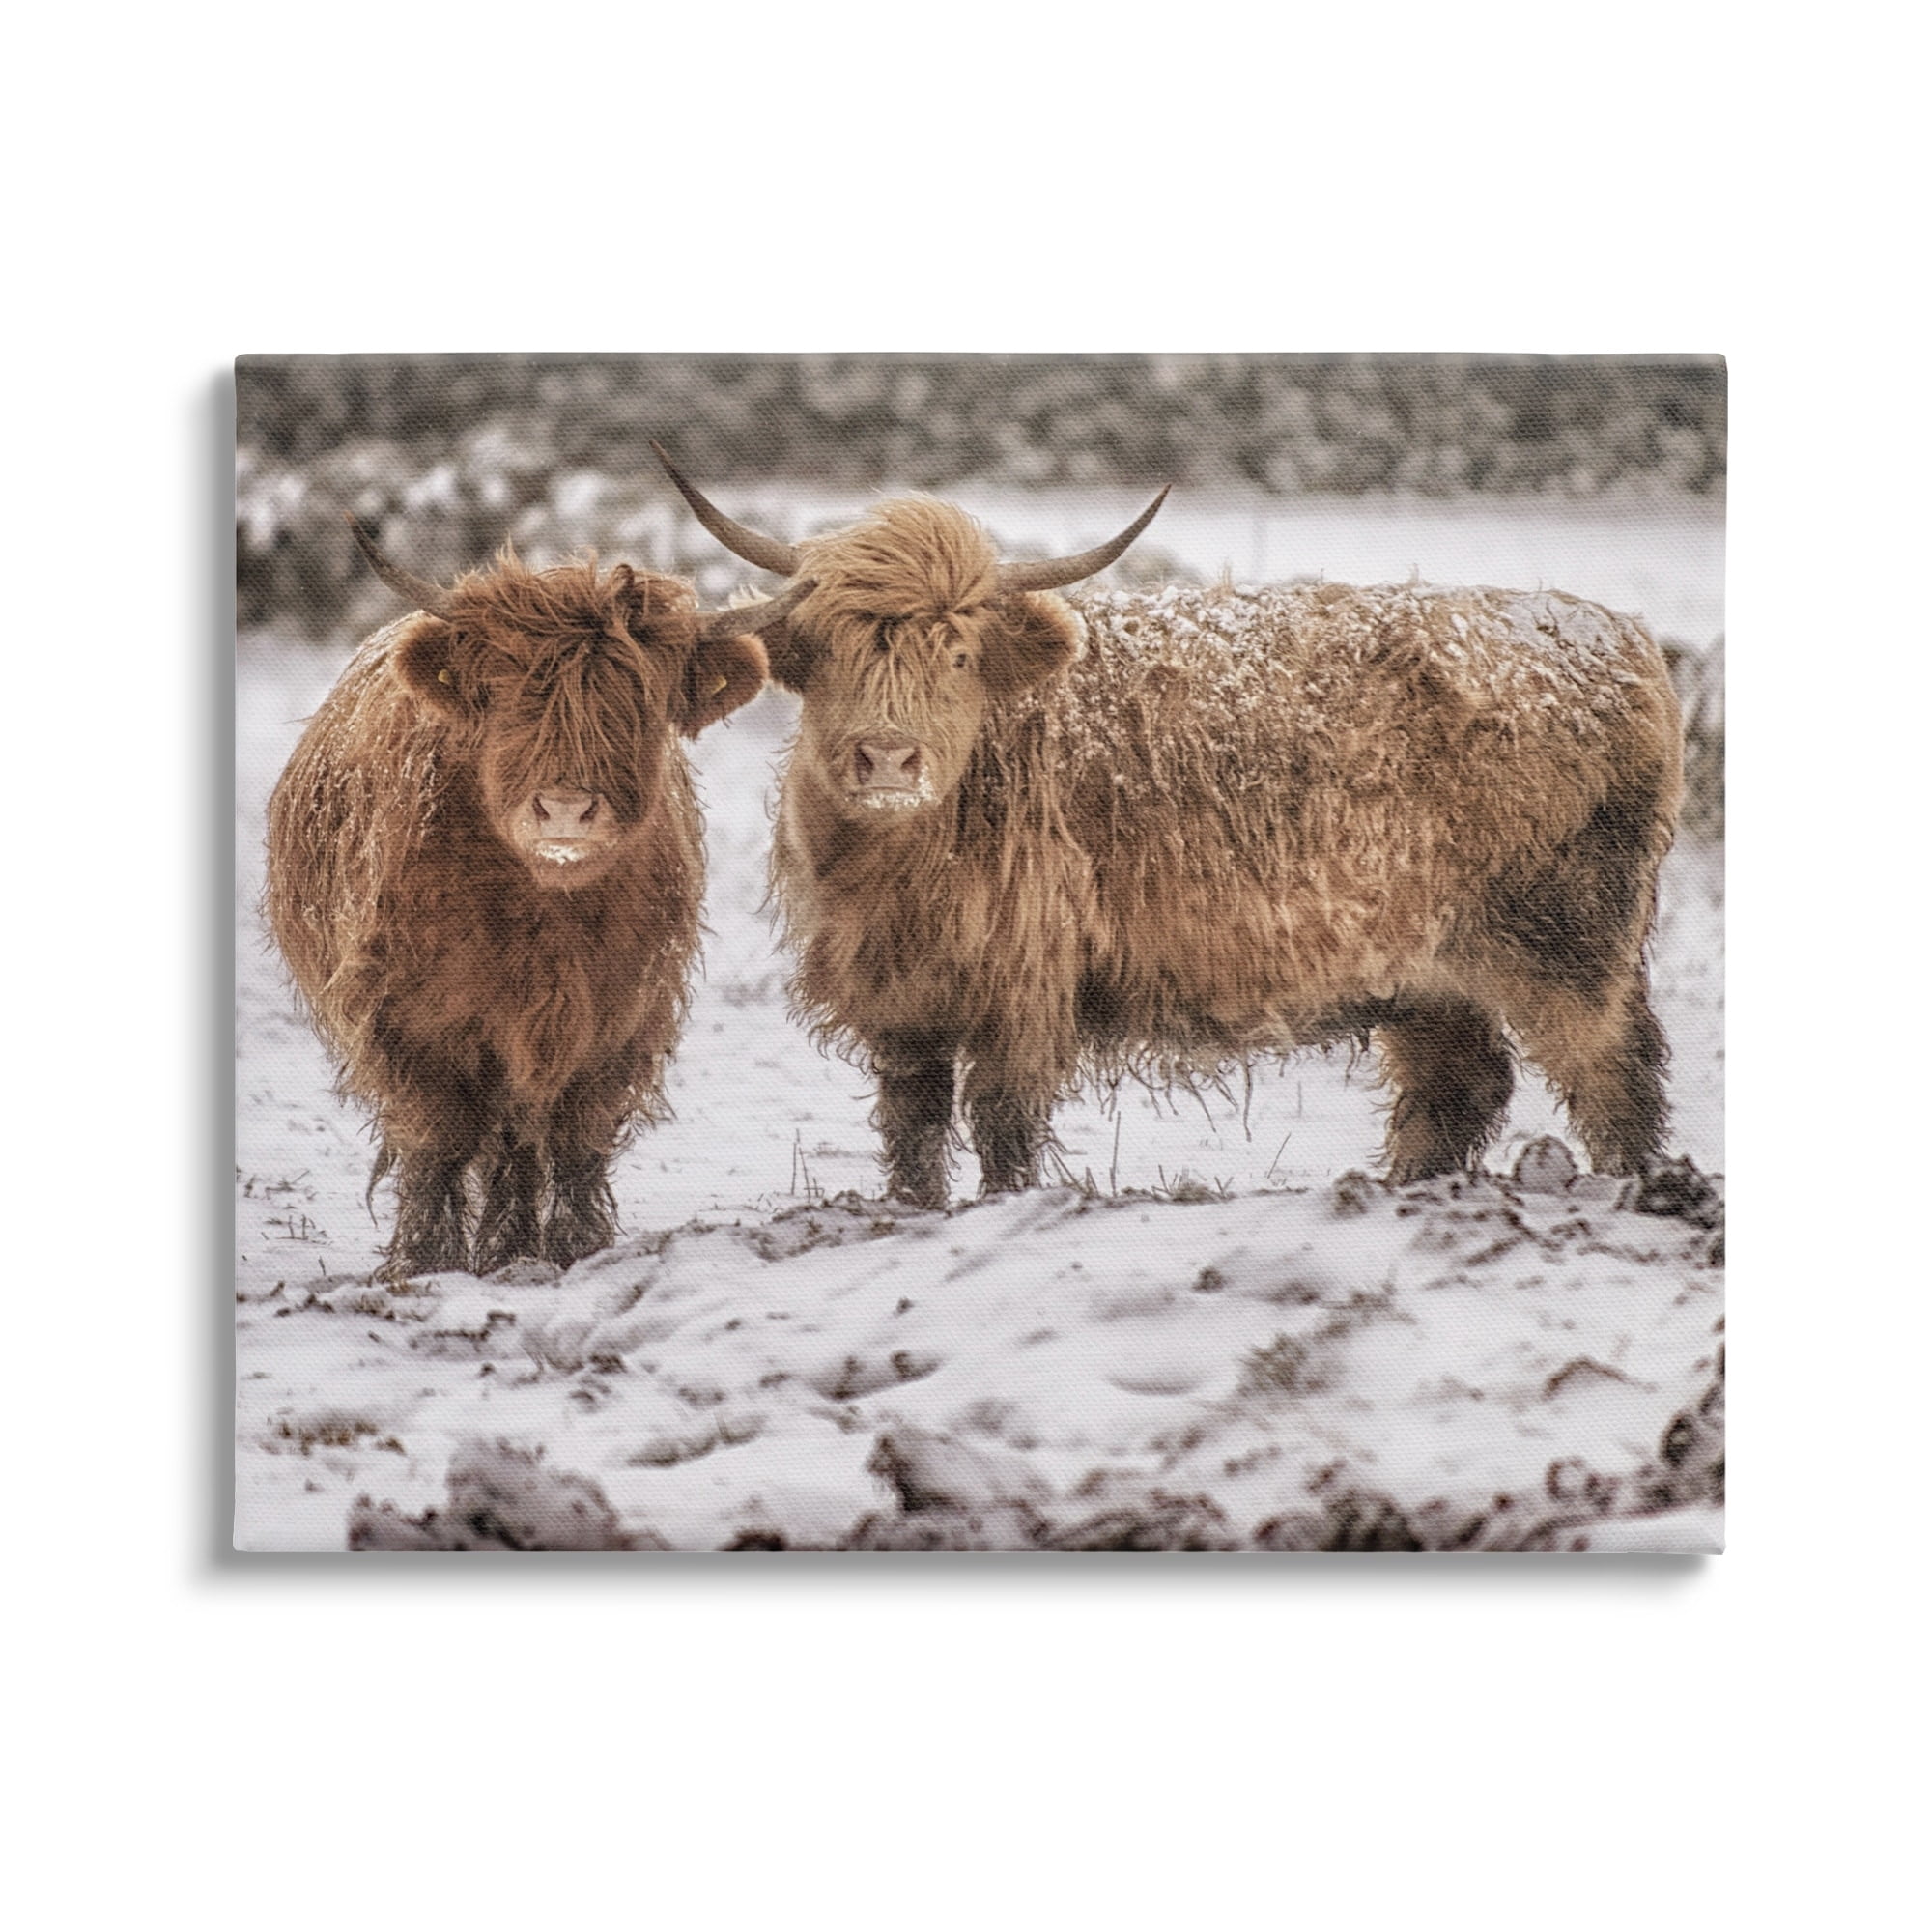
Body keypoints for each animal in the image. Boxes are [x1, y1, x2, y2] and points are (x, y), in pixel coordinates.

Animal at [265, 519, 811, 1274]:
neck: (543, 914)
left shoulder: (623, 1015)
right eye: (506, 697)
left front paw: (572, 1247)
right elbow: (437, 1136)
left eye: (639, 701)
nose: (565, 810)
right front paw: (427, 1259)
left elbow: (577, 1135)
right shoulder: (406, 1019)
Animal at [655, 446, 1684, 1208]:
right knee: (1459, 1085)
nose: (887, 759)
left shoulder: (1024, 982)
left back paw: (1632, 1188)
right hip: (1427, 970)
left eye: (957, 655)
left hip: (1569, 940)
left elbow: (1004, 1122)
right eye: (828, 649)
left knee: (1614, 1075)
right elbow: (912, 1130)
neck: (898, 868)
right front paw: (914, 1209)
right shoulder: (902, 998)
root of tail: (1622, 639)